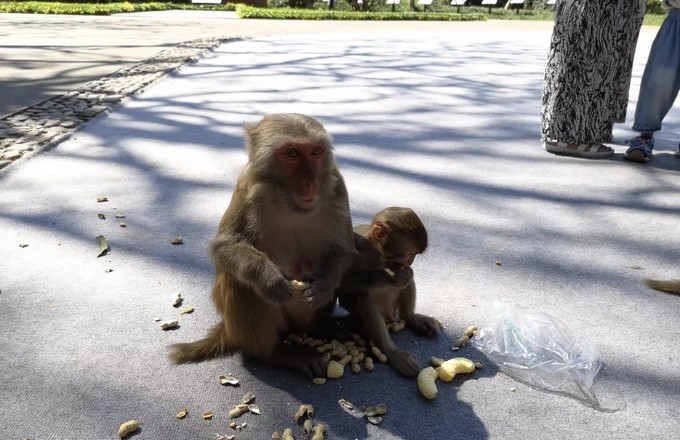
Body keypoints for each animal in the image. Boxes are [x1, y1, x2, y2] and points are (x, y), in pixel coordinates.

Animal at [170, 111, 356, 376]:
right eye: (293, 154)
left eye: (316, 151)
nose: (311, 182)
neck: (290, 203)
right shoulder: (247, 187)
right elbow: (223, 247)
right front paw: (266, 277)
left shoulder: (337, 185)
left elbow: (345, 251)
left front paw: (324, 285)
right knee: (240, 283)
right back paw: (275, 354)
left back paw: (322, 327)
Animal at [338, 208, 440, 376]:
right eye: (409, 254)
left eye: (414, 255)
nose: (411, 261)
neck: (375, 252)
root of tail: (390, 316)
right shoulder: (353, 249)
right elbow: (340, 283)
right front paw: (391, 277)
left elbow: (407, 274)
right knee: (363, 296)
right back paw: (392, 351)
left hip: (393, 307)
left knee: (408, 279)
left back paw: (411, 317)